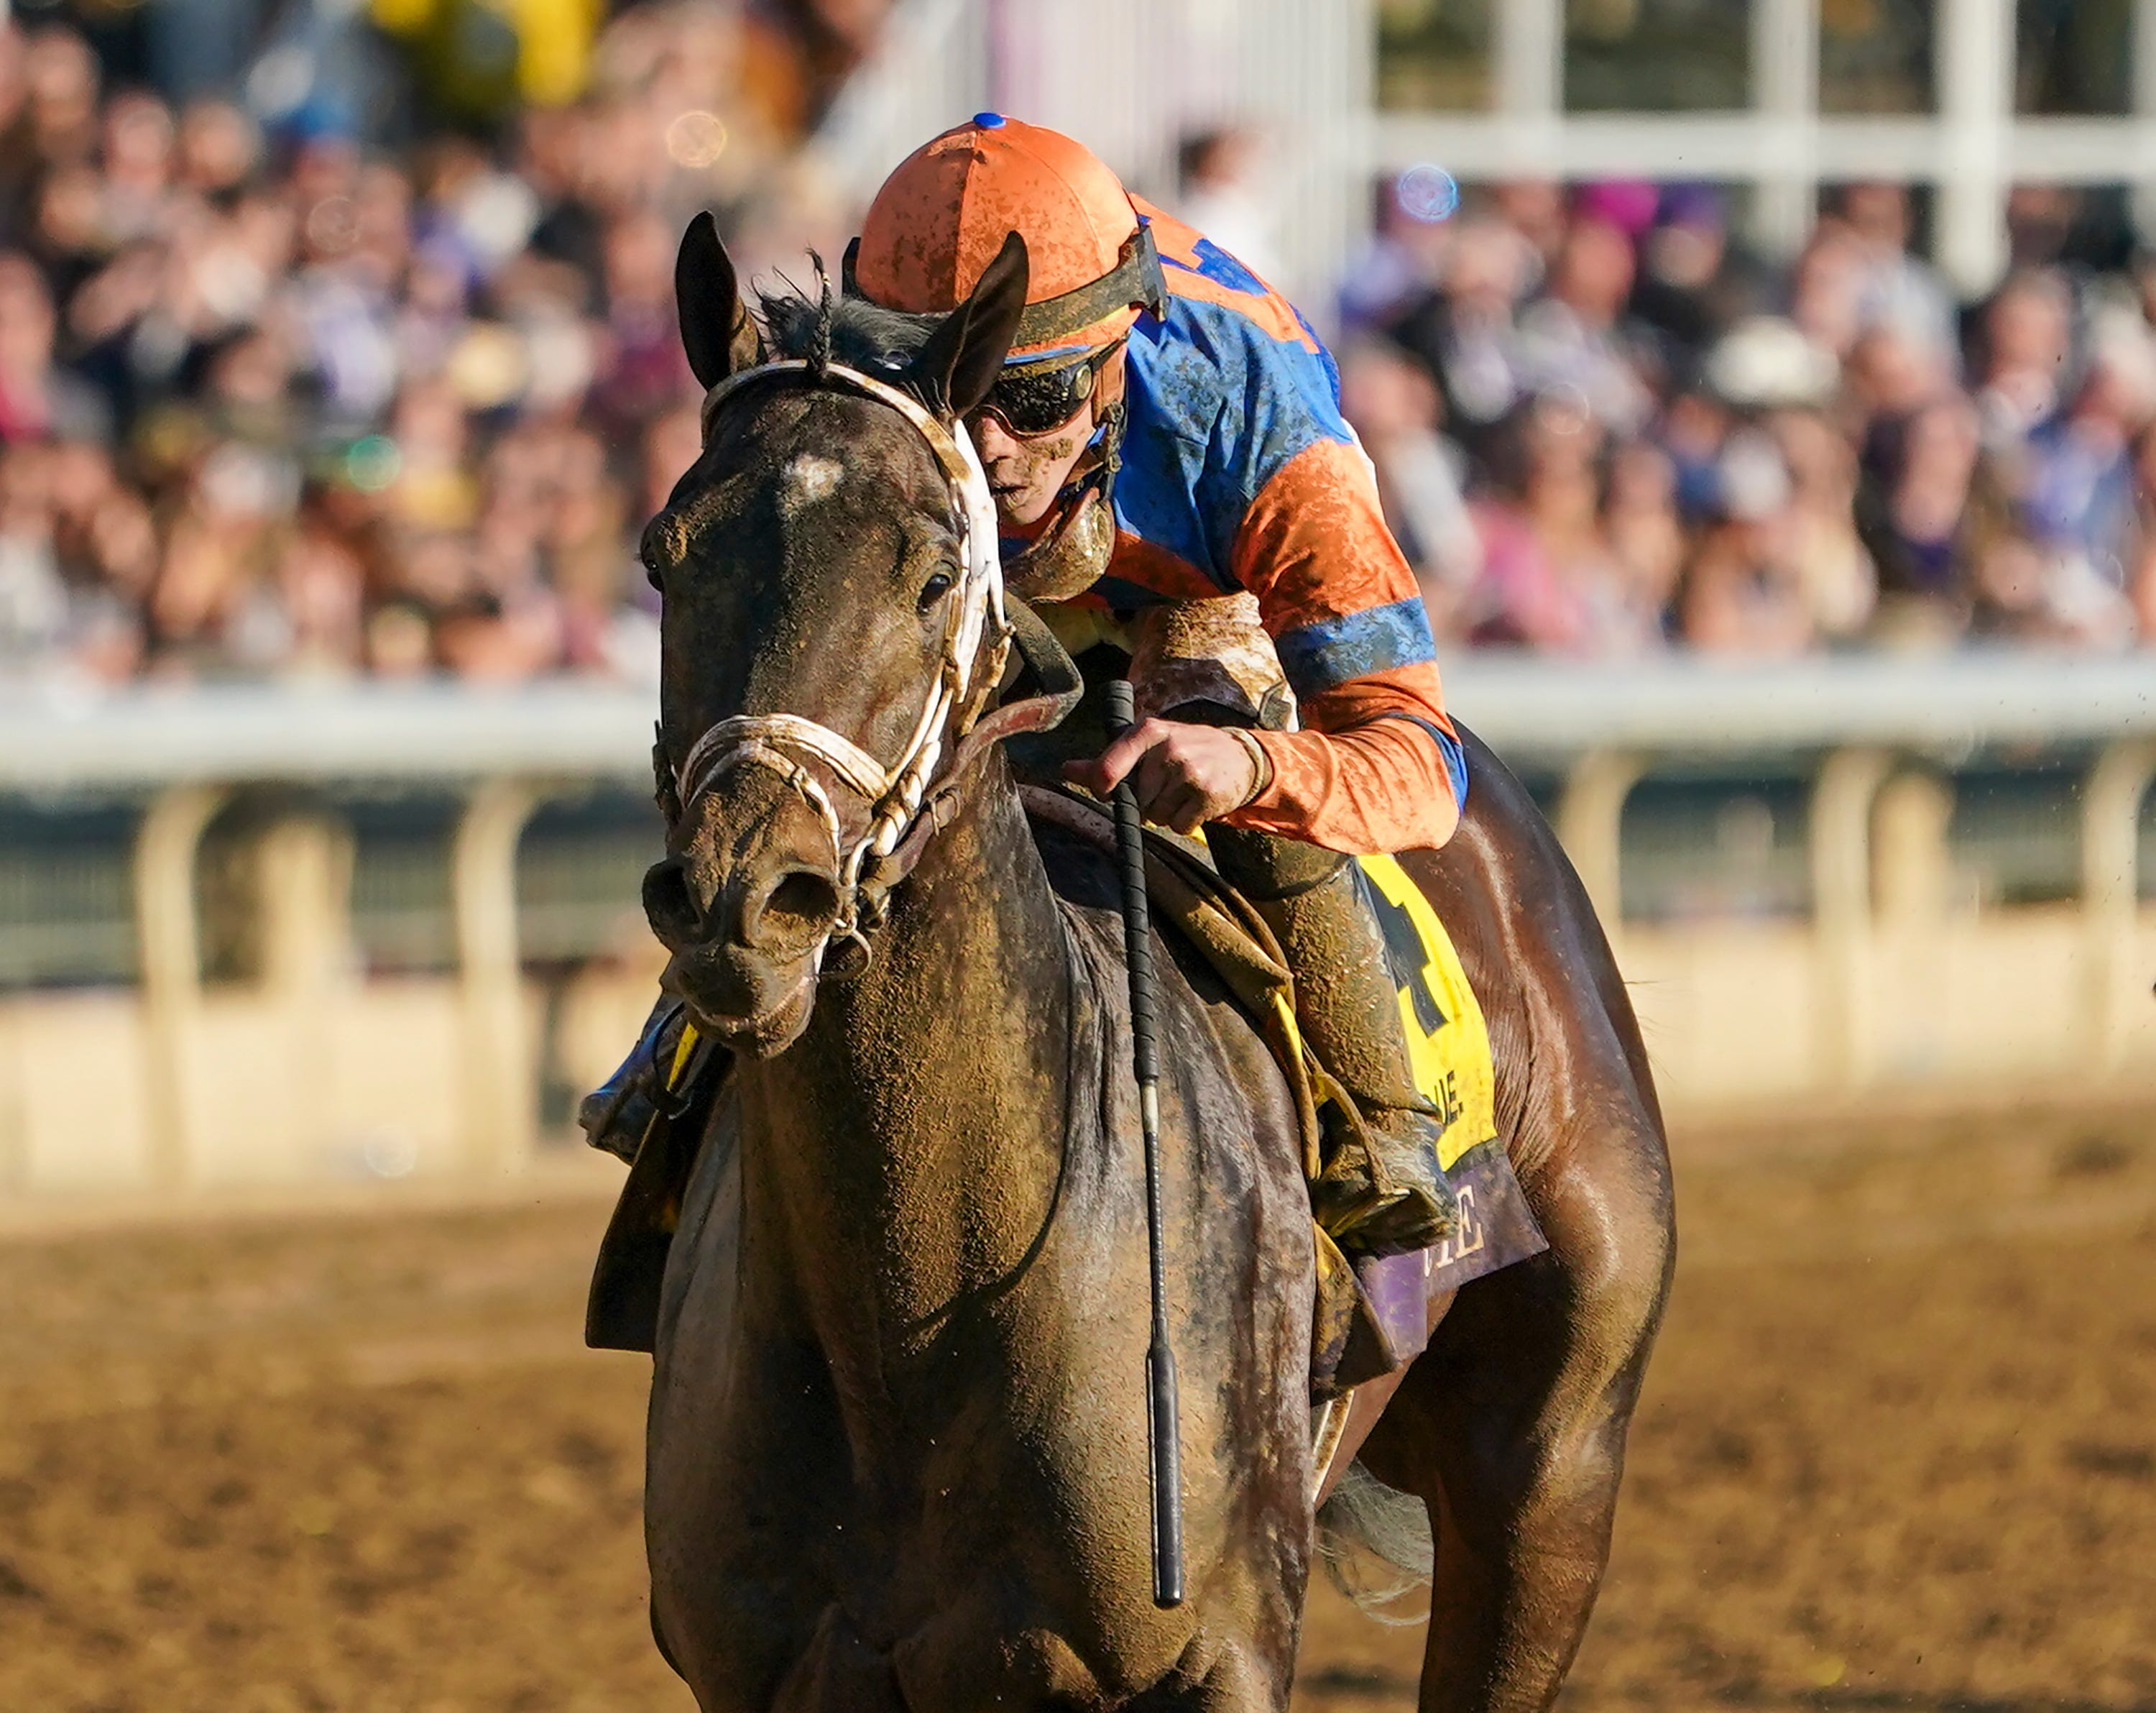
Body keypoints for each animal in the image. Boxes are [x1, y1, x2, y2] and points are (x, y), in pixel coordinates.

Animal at [633, 215, 1676, 1711]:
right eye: (665, 556)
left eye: (934, 572)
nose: (746, 905)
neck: (911, 1321)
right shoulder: (764, 1668)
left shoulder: (1214, 1650)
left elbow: (1375, 709)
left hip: (1556, 1464)